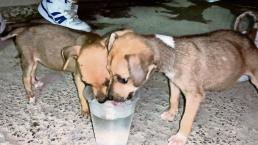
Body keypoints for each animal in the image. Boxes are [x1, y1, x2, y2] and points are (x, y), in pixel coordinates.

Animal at [106, 28, 258, 144]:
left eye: (123, 80)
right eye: (108, 72)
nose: (110, 98)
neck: (172, 54)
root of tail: (248, 38)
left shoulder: (194, 96)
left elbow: (185, 119)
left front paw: (180, 137)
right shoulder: (173, 82)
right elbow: (173, 99)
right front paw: (171, 114)